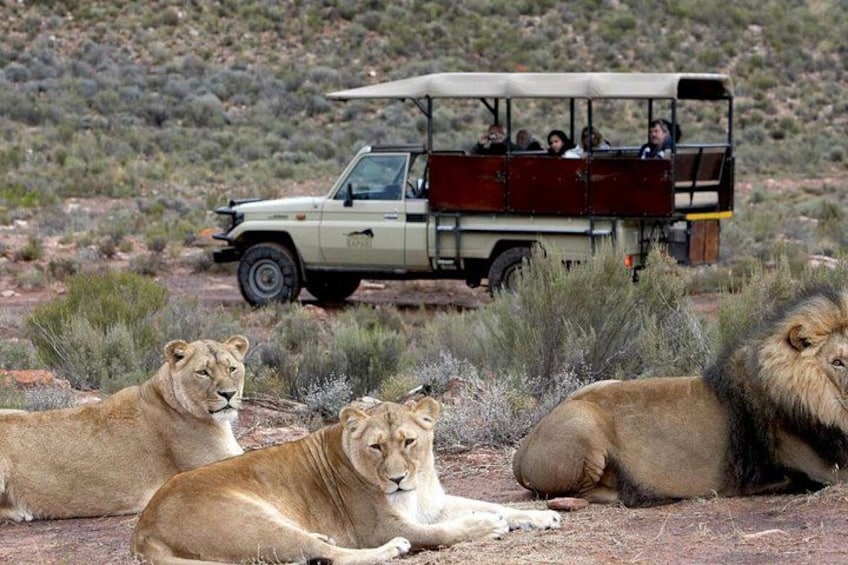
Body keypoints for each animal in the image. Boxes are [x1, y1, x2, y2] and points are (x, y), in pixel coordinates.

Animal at [132, 397, 561, 565]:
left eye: (409, 441)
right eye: (376, 447)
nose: (397, 479)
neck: (418, 484)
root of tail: (143, 526)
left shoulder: (432, 505)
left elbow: (496, 503)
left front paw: (541, 516)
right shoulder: (382, 525)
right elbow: (443, 532)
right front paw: (487, 526)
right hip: (254, 521)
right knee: (329, 555)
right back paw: (391, 550)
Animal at [512, 287, 848, 507]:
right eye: (838, 361)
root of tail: (522, 449)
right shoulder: (819, 468)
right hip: (584, 426)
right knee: (575, 494)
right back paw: (639, 492)